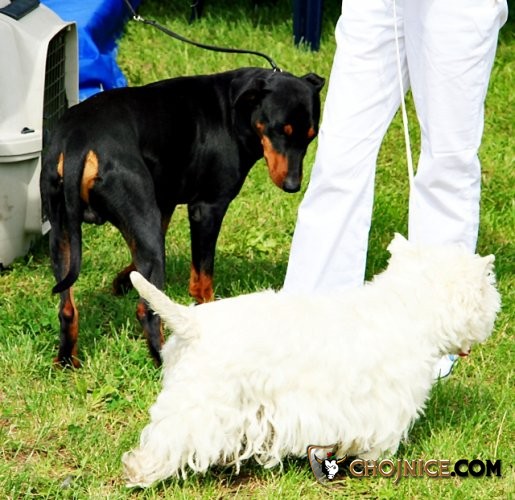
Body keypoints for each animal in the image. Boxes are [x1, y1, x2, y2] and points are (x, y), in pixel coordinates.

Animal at [40, 67, 325, 367]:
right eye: (280, 130)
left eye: (311, 136)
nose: (293, 185)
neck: (235, 110)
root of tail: (79, 144)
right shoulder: (207, 208)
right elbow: (203, 279)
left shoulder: (161, 206)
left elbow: (139, 265)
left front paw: (123, 282)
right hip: (140, 218)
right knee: (146, 311)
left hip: (64, 234)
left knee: (67, 309)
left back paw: (66, 361)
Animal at [121, 234, 500, 487]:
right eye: (487, 288)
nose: (496, 308)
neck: (406, 307)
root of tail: (192, 322)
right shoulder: (385, 403)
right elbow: (378, 440)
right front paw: (375, 465)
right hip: (198, 406)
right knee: (165, 442)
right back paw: (140, 474)